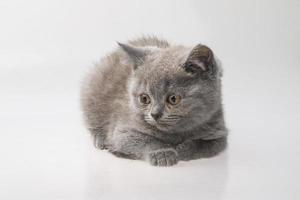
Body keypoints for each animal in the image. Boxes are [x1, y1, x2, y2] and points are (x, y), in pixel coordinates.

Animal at [80, 36, 227, 167]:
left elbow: (203, 145)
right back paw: (100, 139)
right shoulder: (122, 131)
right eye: (144, 98)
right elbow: (146, 140)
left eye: (173, 99)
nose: (155, 114)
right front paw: (163, 153)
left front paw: (182, 150)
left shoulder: (219, 133)